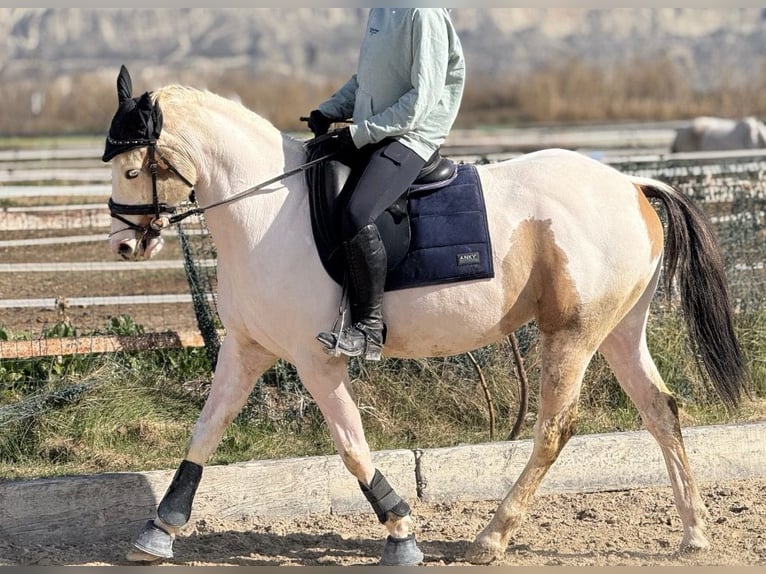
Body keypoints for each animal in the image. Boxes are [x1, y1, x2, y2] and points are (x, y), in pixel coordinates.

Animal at [103, 66, 746, 565]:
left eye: (133, 171)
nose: (124, 246)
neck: (263, 212)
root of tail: (631, 185)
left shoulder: (315, 358)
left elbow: (351, 445)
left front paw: (400, 531)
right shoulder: (246, 348)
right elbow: (205, 430)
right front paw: (159, 528)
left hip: (571, 335)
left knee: (554, 430)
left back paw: (491, 539)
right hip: (617, 333)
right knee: (661, 411)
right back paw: (693, 533)